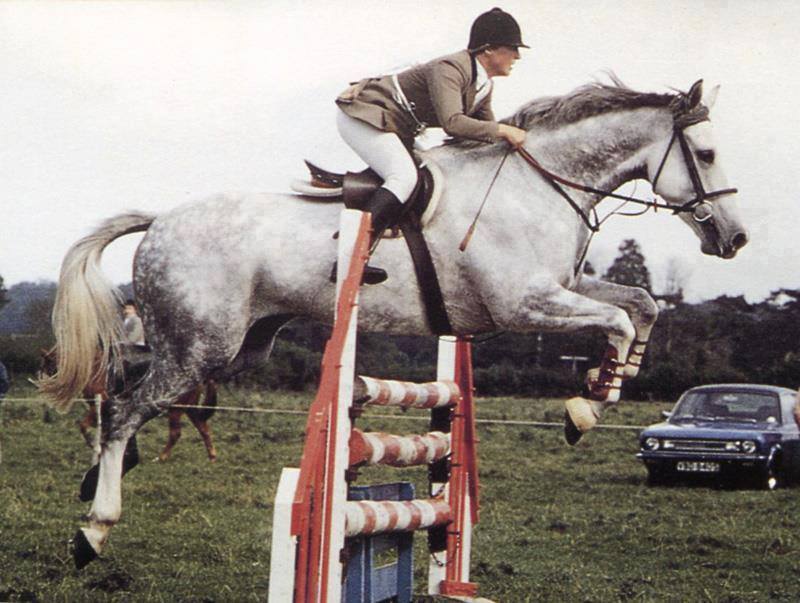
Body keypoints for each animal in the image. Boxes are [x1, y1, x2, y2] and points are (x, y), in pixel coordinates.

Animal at [39, 350, 217, 462]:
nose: (42, 387)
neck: (95, 369)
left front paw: (94, 445)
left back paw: (161, 457)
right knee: (203, 428)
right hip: (189, 408)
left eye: (48, 365)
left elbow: (83, 426)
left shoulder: (98, 407)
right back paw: (212, 456)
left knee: (176, 433)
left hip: (176, 409)